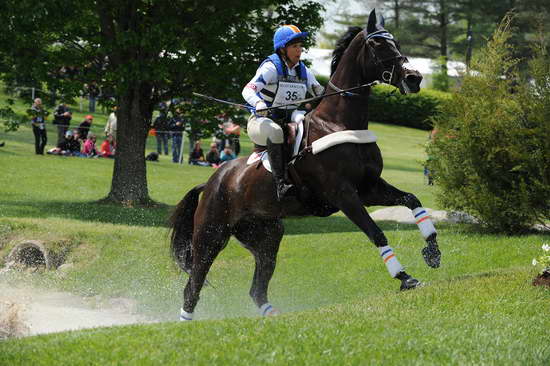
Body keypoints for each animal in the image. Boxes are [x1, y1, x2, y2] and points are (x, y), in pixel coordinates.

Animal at [170, 9, 442, 320]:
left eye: (395, 42)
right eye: (378, 45)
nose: (414, 78)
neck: (338, 123)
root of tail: (212, 181)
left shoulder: (369, 188)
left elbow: (412, 200)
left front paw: (433, 252)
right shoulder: (344, 194)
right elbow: (376, 232)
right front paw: (405, 278)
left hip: (267, 235)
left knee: (257, 289)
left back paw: (273, 316)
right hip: (211, 235)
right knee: (193, 285)